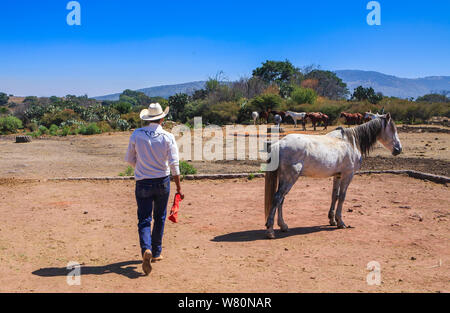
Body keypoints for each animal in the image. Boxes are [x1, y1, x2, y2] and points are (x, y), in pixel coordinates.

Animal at [264, 113, 400, 238]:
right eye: (393, 129)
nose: (399, 149)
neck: (351, 142)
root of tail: (279, 144)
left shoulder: (337, 176)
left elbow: (335, 195)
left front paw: (332, 220)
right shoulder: (347, 175)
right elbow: (342, 197)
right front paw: (341, 222)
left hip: (284, 178)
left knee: (281, 199)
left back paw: (283, 226)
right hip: (290, 178)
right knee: (277, 198)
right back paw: (270, 230)